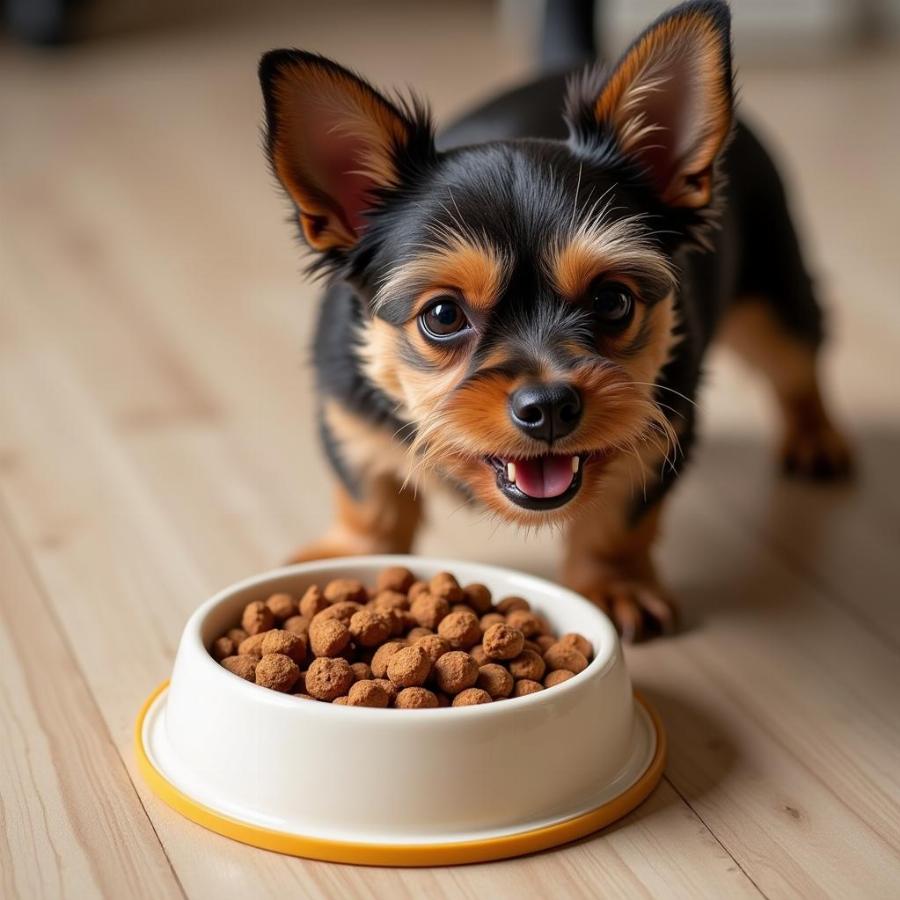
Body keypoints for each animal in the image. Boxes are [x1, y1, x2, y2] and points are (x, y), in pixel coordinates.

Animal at [258, 3, 852, 644]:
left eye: (613, 301)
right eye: (442, 315)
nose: (548, 406)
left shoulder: (661, 426)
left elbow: (617, 518)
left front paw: (614, 585)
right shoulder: (350, 419)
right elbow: (368, 500)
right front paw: (351, 555)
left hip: (773, 287)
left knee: (797, 360)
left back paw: (815, 438)